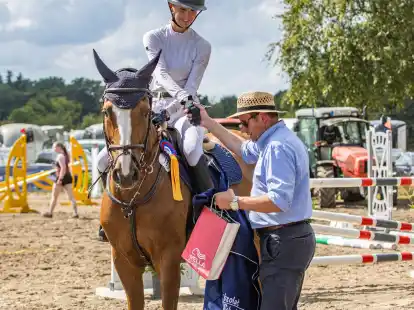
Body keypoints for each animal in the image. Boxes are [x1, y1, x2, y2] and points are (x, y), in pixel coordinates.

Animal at [93, 50, 256, 310]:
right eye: (107, 111)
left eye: (145, 111)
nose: (126, 173)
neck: (133, 200)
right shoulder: (124, 261)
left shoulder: (168, 260)